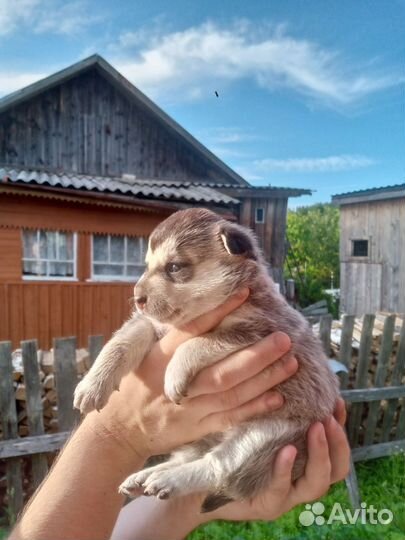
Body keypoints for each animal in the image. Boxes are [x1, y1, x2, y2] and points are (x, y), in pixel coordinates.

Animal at [73, 207, 338, 510]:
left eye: (174, 267)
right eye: (147, 266)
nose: (137, 297)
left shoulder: (256, 330)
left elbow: (197, 343)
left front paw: (174, 373)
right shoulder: (152, 325)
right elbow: (120, 342)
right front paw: (92, 384)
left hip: (264, 436)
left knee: (217, 467)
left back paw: (169, 480)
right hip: (205, 437)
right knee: (187, 457)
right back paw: (146, 476)